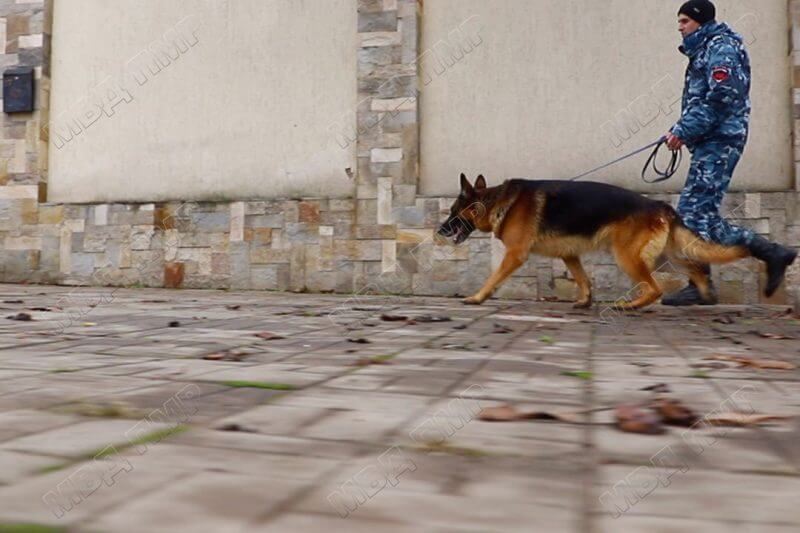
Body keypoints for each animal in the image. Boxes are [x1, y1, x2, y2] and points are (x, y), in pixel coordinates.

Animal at [440, 175, 752, 308]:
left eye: (453, 213)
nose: (439, 231)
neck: (498, 202)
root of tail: (659, 205)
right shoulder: (569, 255)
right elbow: (582, 278)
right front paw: (584, 301)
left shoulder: (515, 255)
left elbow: (493, 277)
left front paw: (478, 297)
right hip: (671, 254)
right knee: (697, 268)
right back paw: (705, 295)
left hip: (628, 257)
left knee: (655, 288)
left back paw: (630, 306)